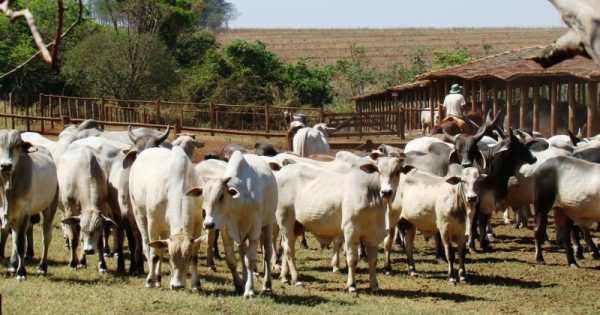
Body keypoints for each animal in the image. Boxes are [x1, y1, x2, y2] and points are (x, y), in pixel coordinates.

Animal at [0, 130, 58, 280]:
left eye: (17, 145)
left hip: (49, 207)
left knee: (46, 236)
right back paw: (12, 265)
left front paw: (21, 272)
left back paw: (42, 267)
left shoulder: (24, 213)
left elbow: (21, 244)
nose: (6, 165)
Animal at [129, 148, 204, 292]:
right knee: (148, 247)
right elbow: (154, 254)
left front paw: (196, 284)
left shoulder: (198, 223)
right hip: (138, 213)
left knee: (160, 247)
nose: (177, 286)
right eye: (171, 257)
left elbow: (195, 256)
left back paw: (158, 279)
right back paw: (153, 277)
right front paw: (150, 281)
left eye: (188, 257)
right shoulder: (153, 223)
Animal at [186, 151, 278, 298]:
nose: (209, 224)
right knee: (241, 250)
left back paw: (267, 285)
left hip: (268, 222)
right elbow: (231, 261)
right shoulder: (226, 231)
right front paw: (239, 285)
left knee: (267, 252)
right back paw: (245, 278)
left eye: (221, 196)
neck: (239, 203)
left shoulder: (254, 231)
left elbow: (250, 260)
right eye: (204, 196)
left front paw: (249, 290)